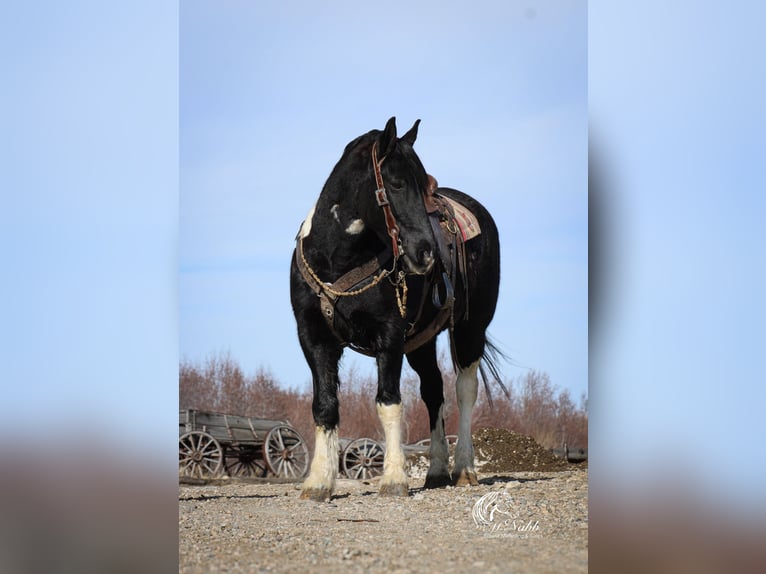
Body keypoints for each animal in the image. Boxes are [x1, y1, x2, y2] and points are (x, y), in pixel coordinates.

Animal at [290, 118, 504, 504]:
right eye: (397, 182)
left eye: (422, 186)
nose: (426, 252)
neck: (337, 261)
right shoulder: (313, 338)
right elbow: (325, 405)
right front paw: (318, 483)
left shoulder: (389, 335)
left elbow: (389, 402)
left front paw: (393, 479)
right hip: (421, 342)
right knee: (433, 391)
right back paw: (437, 471)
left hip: (471, 329)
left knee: (465, 390)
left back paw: (464, 469)